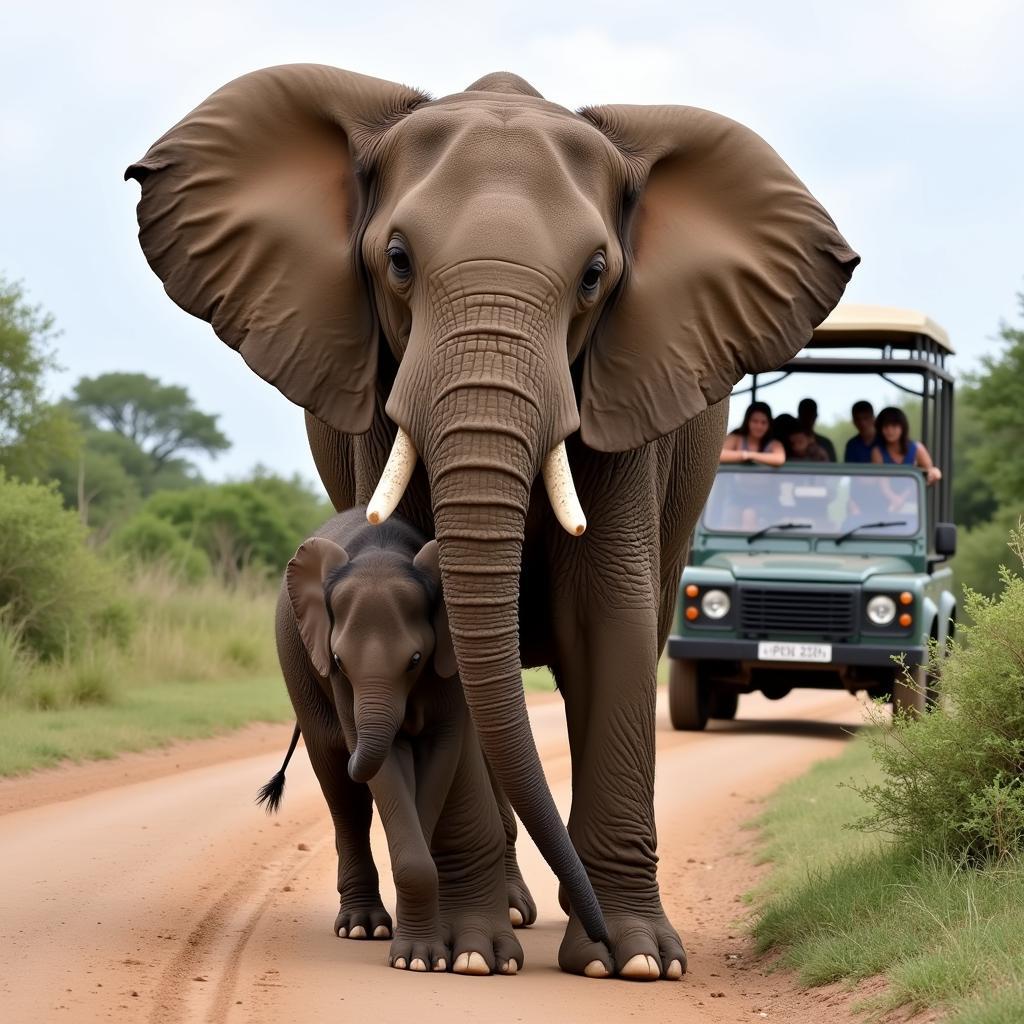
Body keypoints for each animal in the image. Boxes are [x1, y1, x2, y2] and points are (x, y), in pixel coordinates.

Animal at [260, 509, 524, 974]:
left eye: (415, 660)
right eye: (340, 661)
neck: (382, 553)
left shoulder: (446, 662)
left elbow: (439, 751)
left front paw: (420, 950)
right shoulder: (338, 679)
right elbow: (386, 772)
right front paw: (416, 957)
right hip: (298, 669)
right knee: (343, 797)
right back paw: (361, 927)